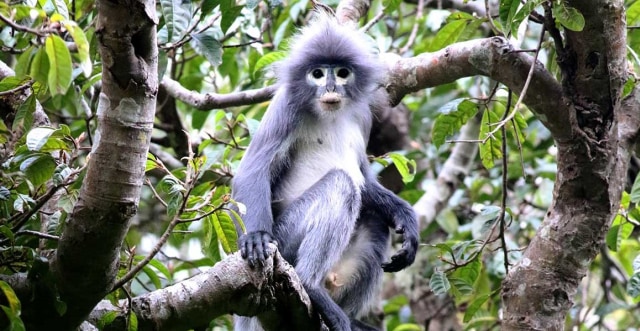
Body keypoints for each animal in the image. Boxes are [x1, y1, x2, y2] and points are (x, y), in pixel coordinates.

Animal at [230, 11, 420, 331]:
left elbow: (365, 179)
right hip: (285, 241)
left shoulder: (363, 116)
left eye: (342, 73)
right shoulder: (286, 106)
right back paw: (311, 286)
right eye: (317, 74)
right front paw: (255, 236)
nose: (330, 88)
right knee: (341, 184)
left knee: (374, 217)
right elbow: (252, 170)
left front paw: (406, 218)